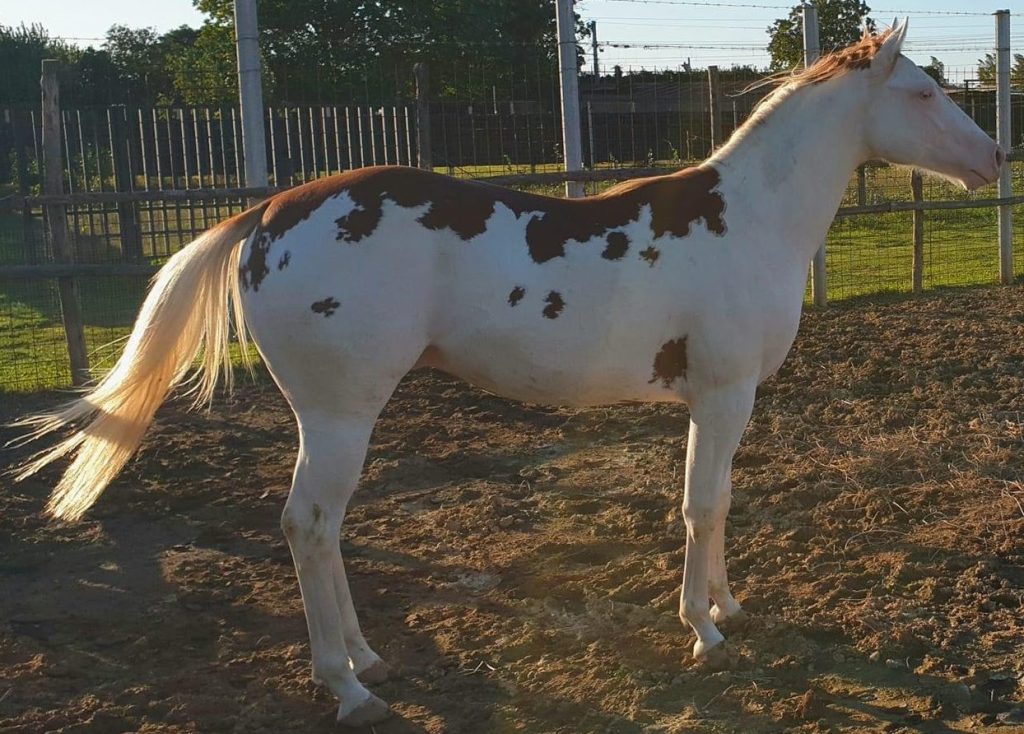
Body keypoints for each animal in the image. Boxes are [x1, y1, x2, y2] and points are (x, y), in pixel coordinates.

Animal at [11, 23, 1003, 726]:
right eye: (924, 90)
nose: (996, 156)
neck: (747, 219)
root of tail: (265, 215)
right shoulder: (722, 395)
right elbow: (700, 507)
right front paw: (703, 630)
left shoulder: (726, 403)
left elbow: (718, 502)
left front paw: (728, 605)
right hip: (338, 414)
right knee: (308, 525)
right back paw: (348, 686)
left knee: (324, 533)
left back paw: (368, 659)